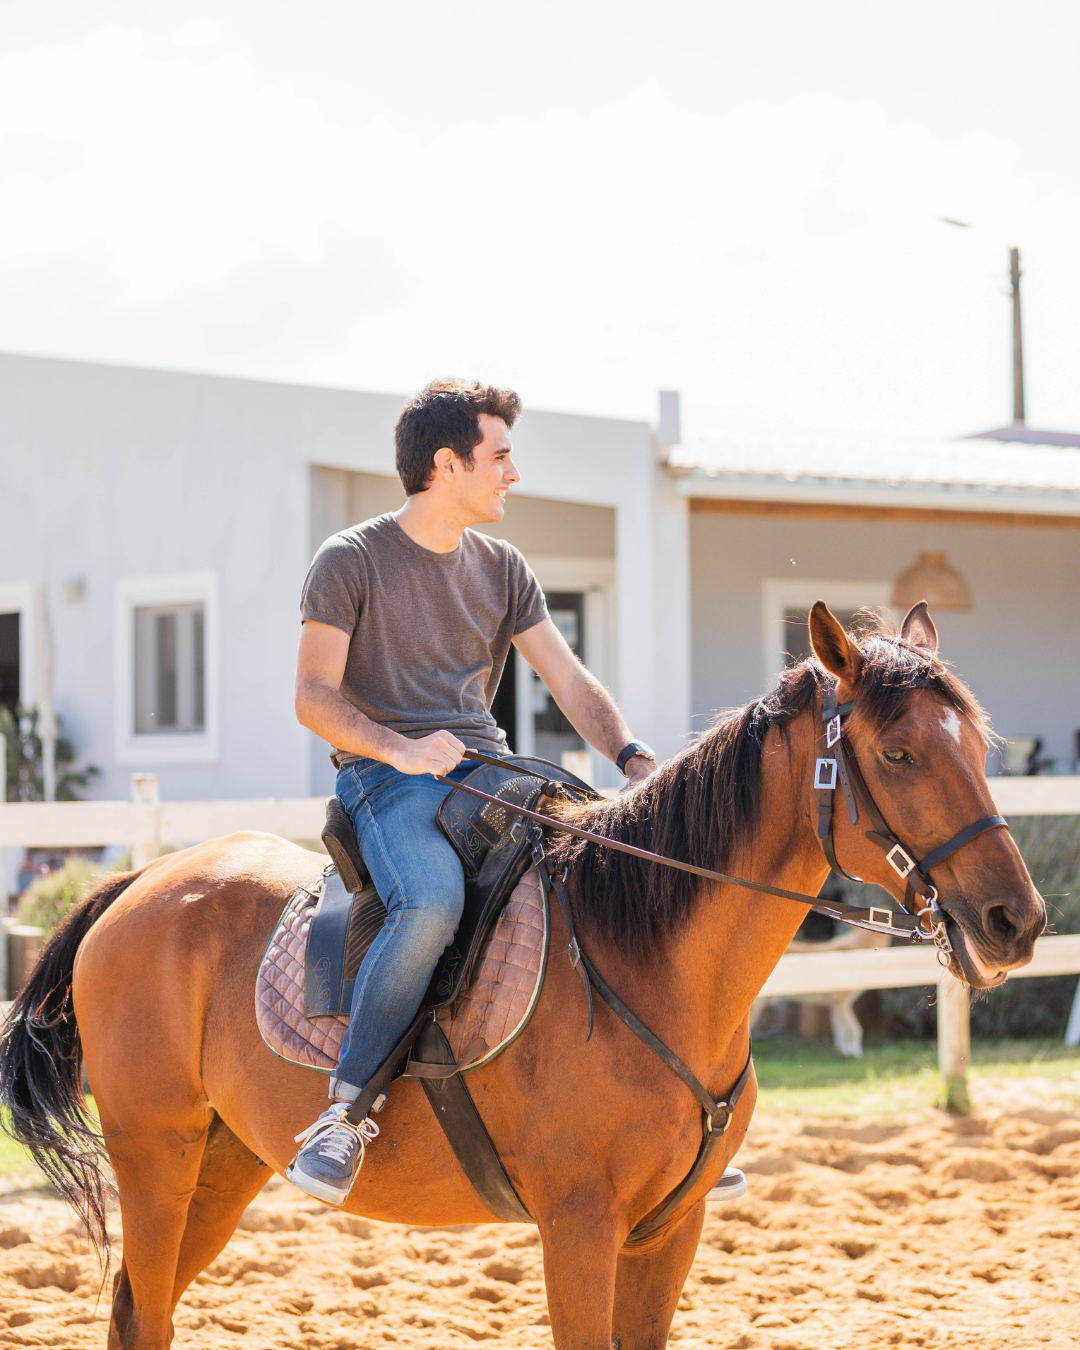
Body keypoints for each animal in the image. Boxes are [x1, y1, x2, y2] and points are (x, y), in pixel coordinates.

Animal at [0, 607, 1047, 1344]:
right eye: (899, 752)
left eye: (980, 746)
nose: (1018, 921)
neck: (640, 960)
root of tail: (139, 885)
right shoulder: (578, 1228)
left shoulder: (669, 1232)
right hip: (156, 1159)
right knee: (145, 1312)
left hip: (221, 1167)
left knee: (141, 1309)